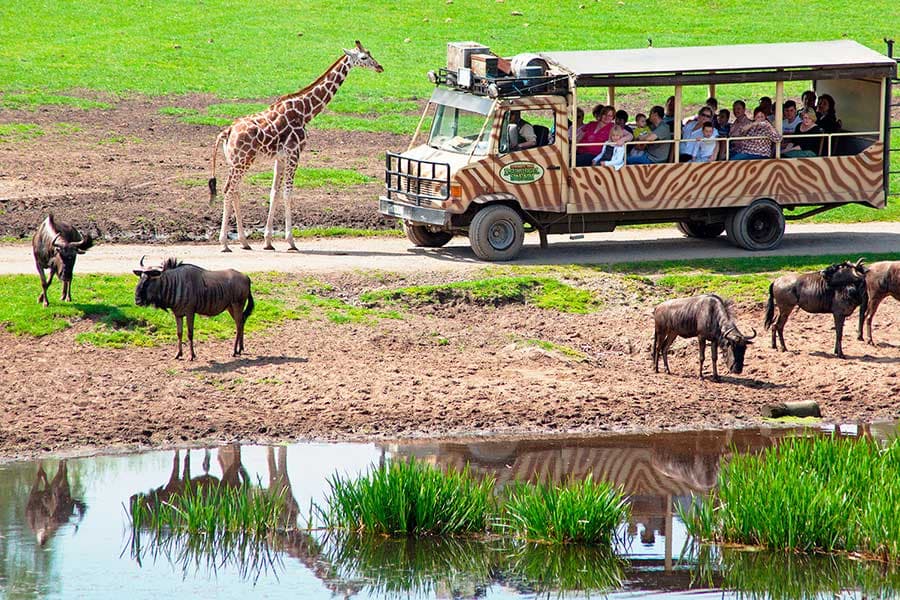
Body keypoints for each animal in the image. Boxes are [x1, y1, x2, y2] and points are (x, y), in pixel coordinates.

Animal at [208, 39, 384, 251]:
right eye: (364, 57)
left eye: (370, 53)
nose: (380, 67)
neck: (305, 111)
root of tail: (227, 132)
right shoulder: (295, 153)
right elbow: (287, 193)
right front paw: (291, 241)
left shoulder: (281, 157)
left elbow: (274, 192)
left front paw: (268, 241)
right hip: (242, 161)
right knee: (228, 190)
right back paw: (224, 243)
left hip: (236, 162)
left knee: (235, 191)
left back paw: (244, 241)